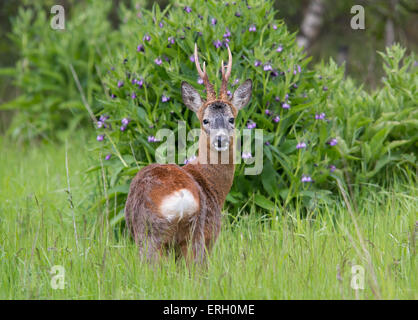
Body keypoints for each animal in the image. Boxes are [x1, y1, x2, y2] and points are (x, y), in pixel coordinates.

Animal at [125, 43, 251, 262]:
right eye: (205, 120)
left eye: (231, 119)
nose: (220, 139)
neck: (212, 185)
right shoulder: (211, 235)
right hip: (192, 235)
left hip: (144, 234)